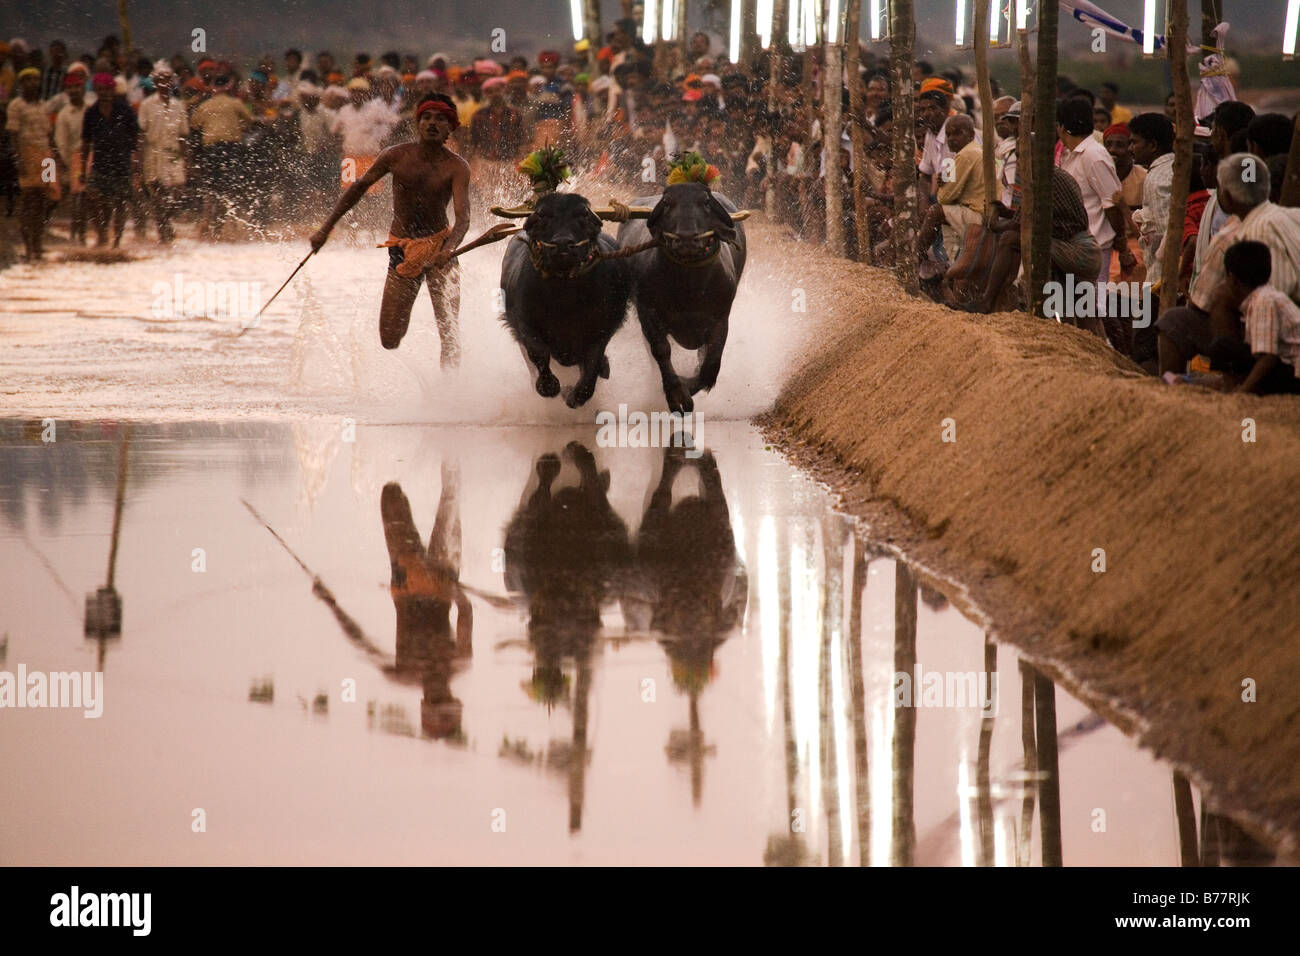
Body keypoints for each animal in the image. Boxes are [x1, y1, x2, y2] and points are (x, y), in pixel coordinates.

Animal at [499, 195, 631, 408]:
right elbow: (538, 352)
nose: (563, 244)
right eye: (542, 215)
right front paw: (548, 386)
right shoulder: (523, 323)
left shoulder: (601, 331)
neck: (564, 300)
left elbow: (591, 366)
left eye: (583, 214)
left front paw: (574, 395)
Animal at [616, 184, 748, 413]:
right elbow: (661, 350)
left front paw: (687, 383)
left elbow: (711, 365)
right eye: (668, 202)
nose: (686, 238)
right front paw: (676, 393)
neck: (689, 288)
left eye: (705, 202)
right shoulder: (647, 312)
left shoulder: (720, 319)